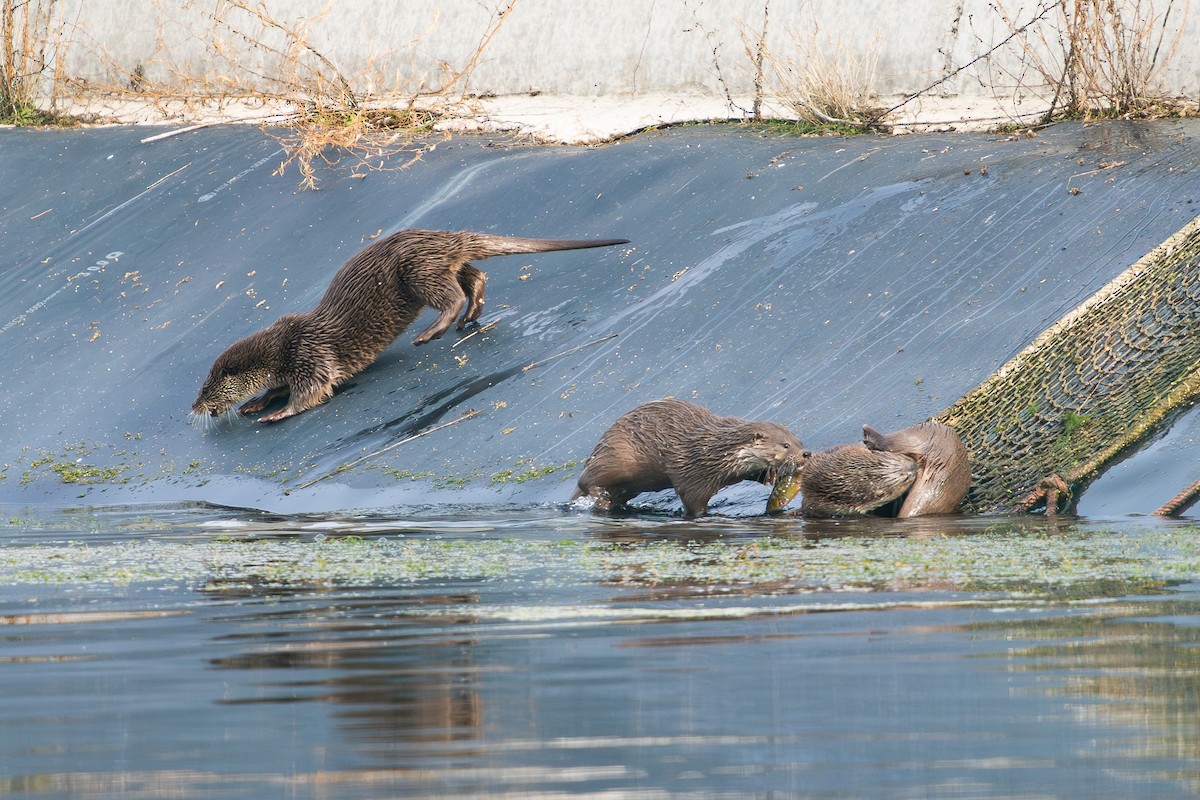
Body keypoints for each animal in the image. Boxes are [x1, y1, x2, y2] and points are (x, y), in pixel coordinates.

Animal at [191, 229, 628, 423]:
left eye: (207, 387)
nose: (194, 407)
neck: (280, 348)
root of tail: (440, 238)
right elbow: (277, 387)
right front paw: (256, 402)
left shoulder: (308, 356)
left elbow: (312, 391)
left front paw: (276, 413)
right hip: (431, 267)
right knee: (474, 276)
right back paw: (472, 314)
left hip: (415, 272)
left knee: (452, 294)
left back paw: (432, 332)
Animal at [571, 398, 809, 518]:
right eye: (785, 445)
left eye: (800, 441)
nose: (806, 454)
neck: (714, 452)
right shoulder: (693, 475)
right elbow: (693, 502)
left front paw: (771, 476)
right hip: (617, 456)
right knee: (586, 479)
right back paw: (599, 497)